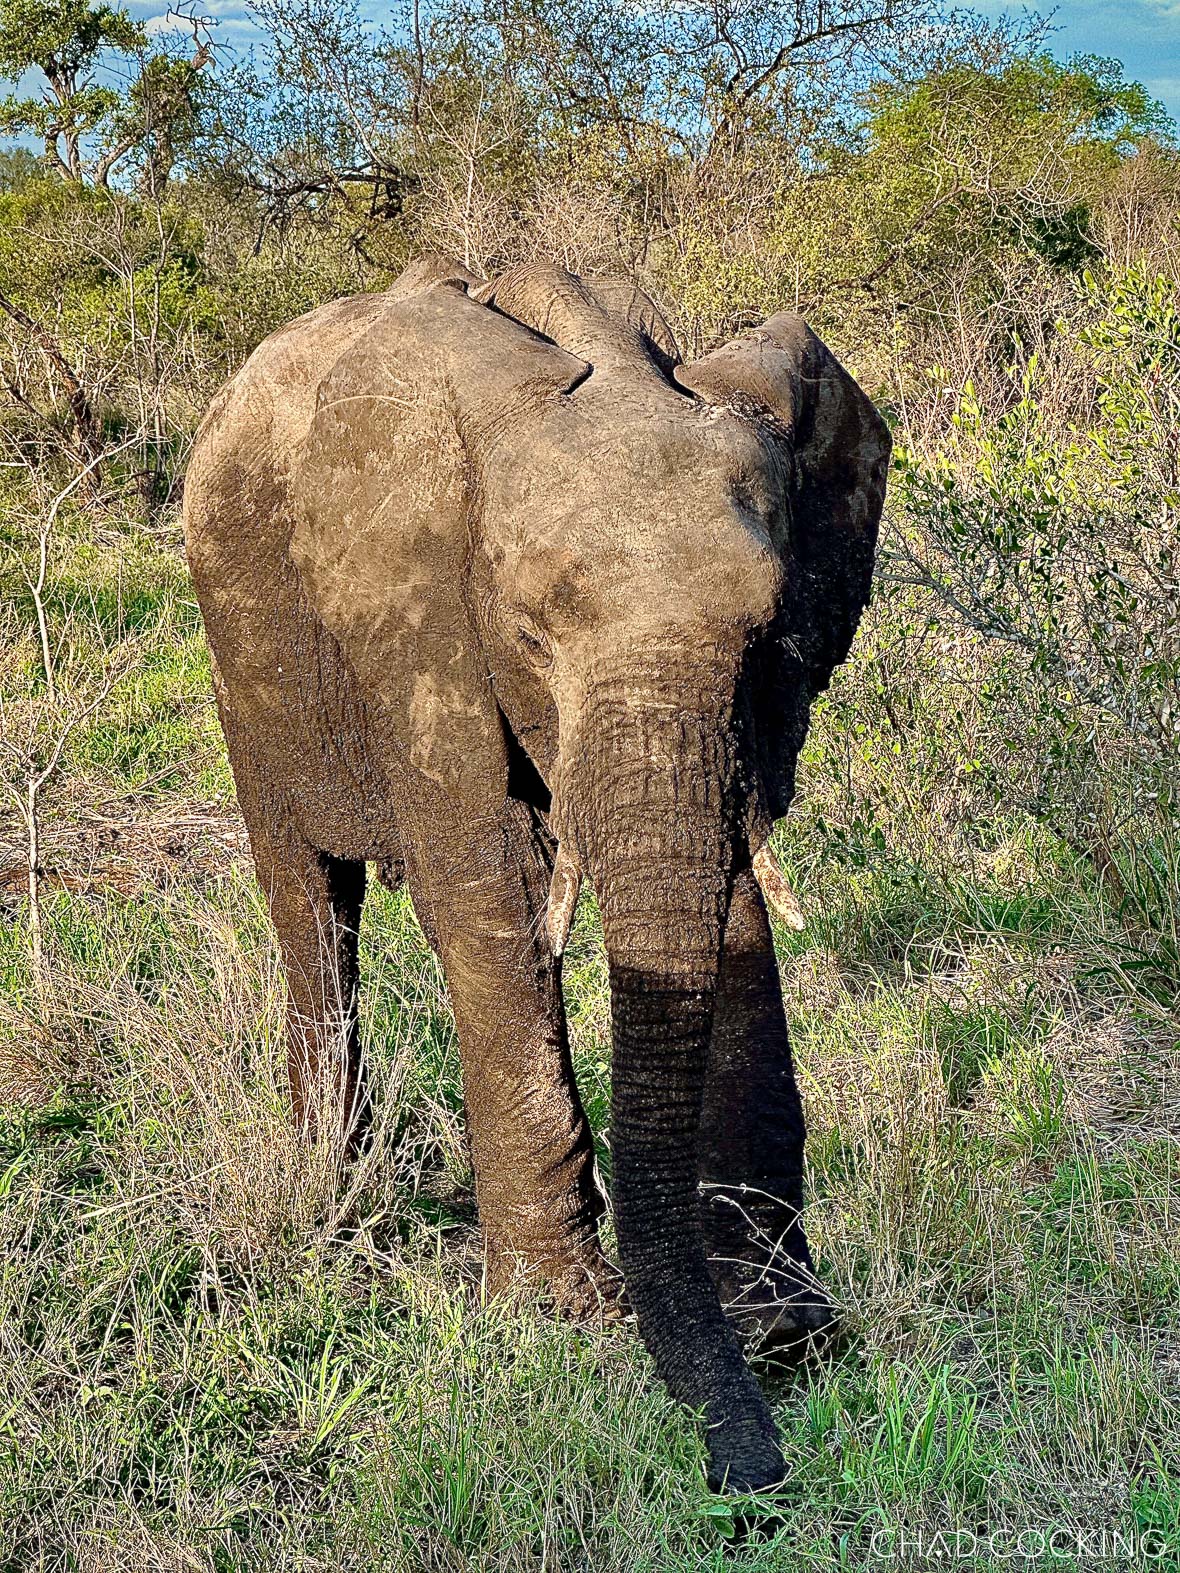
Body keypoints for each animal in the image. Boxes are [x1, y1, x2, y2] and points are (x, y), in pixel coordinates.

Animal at [183, 255, 890, 1493]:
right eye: (528, 633)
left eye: (771, 633)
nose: (756, 1475)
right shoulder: (415, 620)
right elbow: (493, 891)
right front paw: (563, 1318)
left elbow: (730, 897)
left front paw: (780, 1327)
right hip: (241, 659)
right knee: (310, 902)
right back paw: (334, 1200)